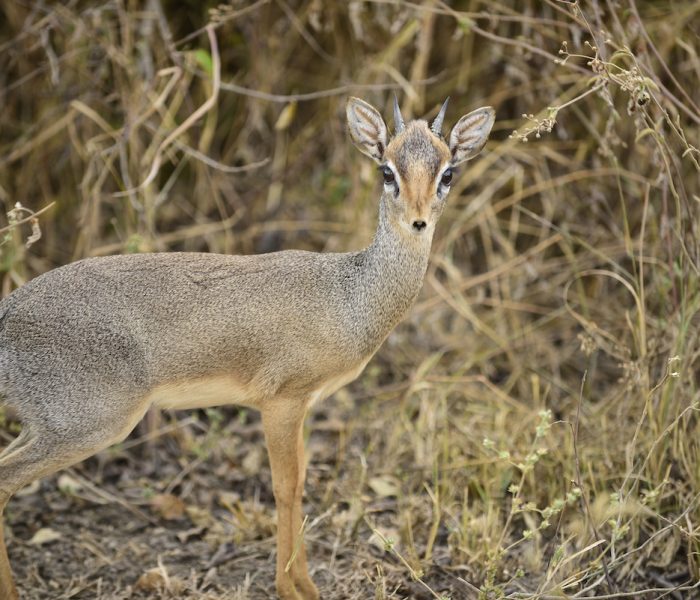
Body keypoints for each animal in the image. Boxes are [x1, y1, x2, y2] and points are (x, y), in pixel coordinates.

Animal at [0, 96, 492, 596]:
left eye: (448, 172)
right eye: (387, 171)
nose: (418, 220)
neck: (346, 297)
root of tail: (9, 307)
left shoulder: (304, 406)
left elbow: (298, 484)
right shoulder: (281, 401)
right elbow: (285, 487)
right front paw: (294, 589)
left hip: (44, 423)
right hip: (90, 423)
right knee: (5, 481)